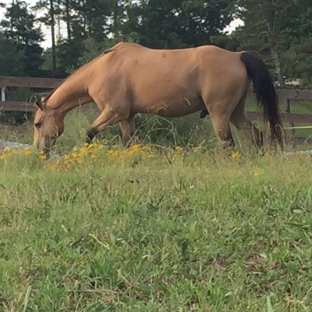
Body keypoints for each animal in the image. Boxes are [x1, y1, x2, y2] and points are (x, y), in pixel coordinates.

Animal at [33, 41, 282, 155]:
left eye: (37, 123)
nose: (40, 150)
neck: (100, 70)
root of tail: (237, 56)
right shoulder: (127, 117)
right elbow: (128, 142)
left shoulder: (114, 112)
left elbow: (89, 132)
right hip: (236, 112)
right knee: (256, 135)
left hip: (219, 114)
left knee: (228, 143)